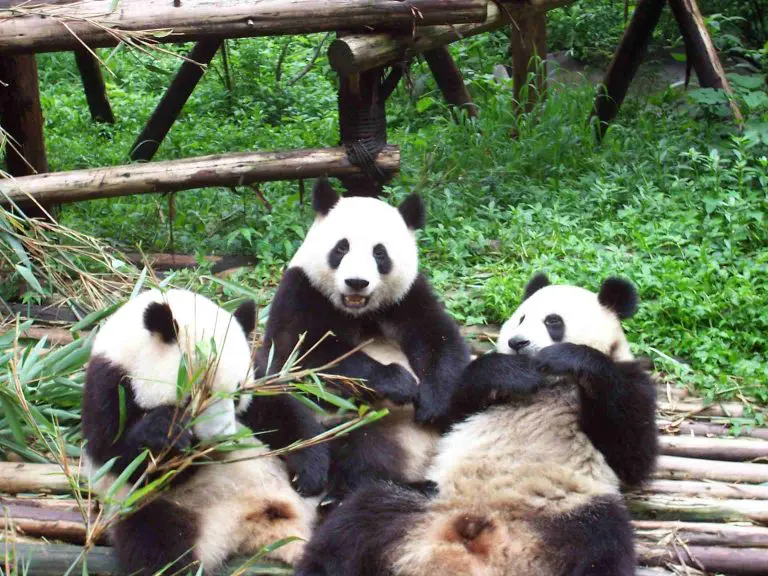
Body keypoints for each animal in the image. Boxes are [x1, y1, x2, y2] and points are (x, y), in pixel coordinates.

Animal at [82, 288, 321, 575]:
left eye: (237, 397)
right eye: (195, 398)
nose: (223, 438)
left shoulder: (257, 372)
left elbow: (281, 411)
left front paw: (309, 472)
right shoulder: (108, 387)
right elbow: (117, 457)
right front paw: (167, 433)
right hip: (162, 507)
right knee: (156, 544)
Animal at [252, 177, 471, 505]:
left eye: (380, 253)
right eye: (341, 247)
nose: (357, 282)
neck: (356, 310)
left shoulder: (407, 297)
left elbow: (439, 338)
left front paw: (433, 401)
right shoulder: (301, 290)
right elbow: (303, 357)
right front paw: (398, 381)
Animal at [296, 273, 659, 576]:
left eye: (553, 321)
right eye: (521, 318)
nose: (517, 343)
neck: (549, 387)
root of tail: (479, 540)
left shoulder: (630, 381)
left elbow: (632, 454)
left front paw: (570, 357)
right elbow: (447, 411)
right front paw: (507, 370)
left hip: (569, 517)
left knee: (605, 548)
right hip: (421, 501)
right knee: (356, 520)